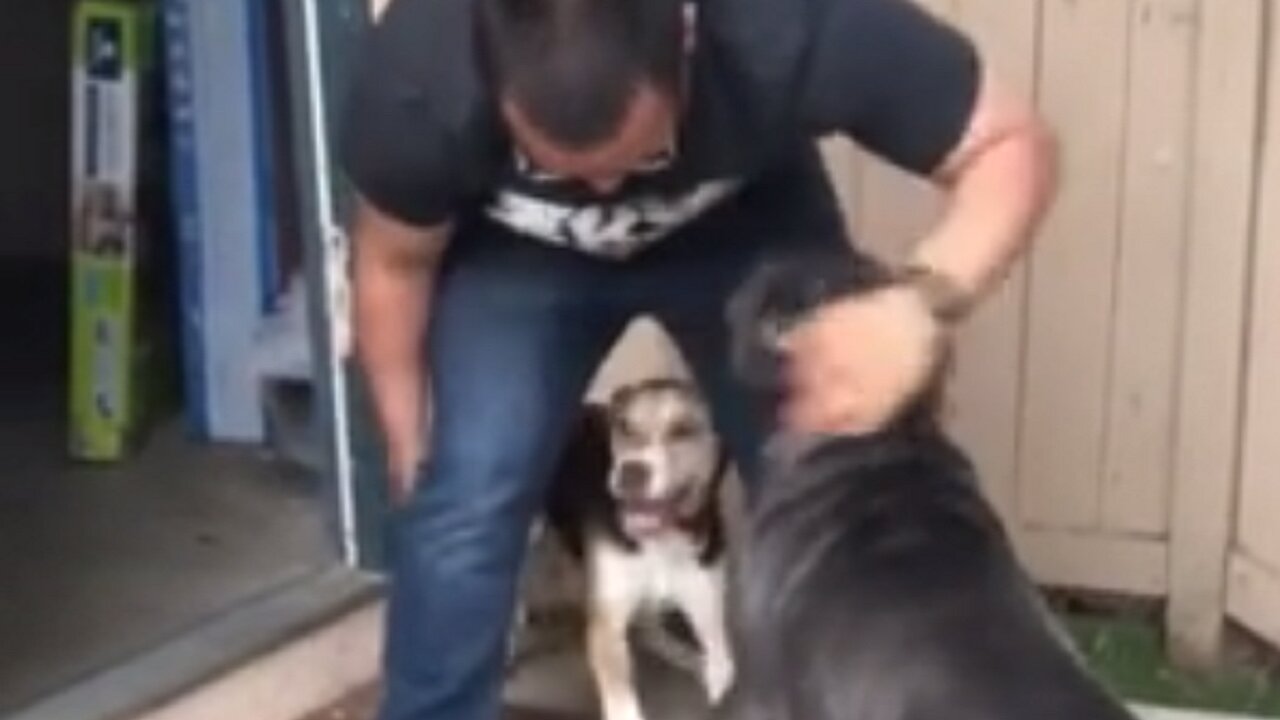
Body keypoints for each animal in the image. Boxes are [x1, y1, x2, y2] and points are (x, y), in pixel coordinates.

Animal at [540, 381, 737, 720]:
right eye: (625, 427)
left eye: (684, 430)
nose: (630, 472)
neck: (660, 541)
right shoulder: (607, 625)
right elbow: (622, 704)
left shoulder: (706, 601)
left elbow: (722, 662)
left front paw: (710, 675)